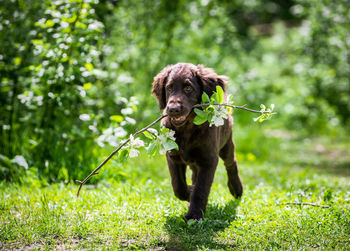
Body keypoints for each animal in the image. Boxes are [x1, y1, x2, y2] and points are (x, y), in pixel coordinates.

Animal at [152, 62, 242, 220]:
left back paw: (236, 188)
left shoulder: (209, 159)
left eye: (188, 88)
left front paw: (194, 215)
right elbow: (178, 186)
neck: (187, 128)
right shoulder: (173, 156)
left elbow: (201, 189)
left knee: (231, 163)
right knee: (194, 174)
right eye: (169, 88)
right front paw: (189, 193)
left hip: (226, 143)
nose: (173, 109)